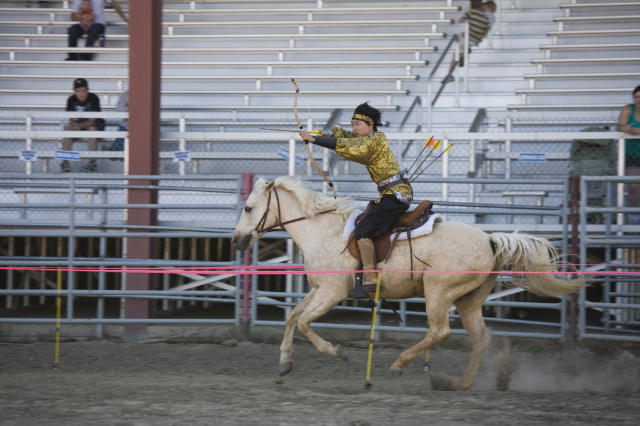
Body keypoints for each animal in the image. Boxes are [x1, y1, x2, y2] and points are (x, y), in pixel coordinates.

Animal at [232, 176, 588, 390]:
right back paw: (462, 383)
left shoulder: (332, 293)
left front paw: (337, 352)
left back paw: (399, 366)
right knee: (479, 338)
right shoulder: (319, 290)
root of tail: (489, 240)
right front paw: (284, 363)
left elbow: (305, 323)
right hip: (469, 299)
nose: (236, 240)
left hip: (439, 293)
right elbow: (293, 317)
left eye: (248, 207)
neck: (323, 231)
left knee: (440, 332)